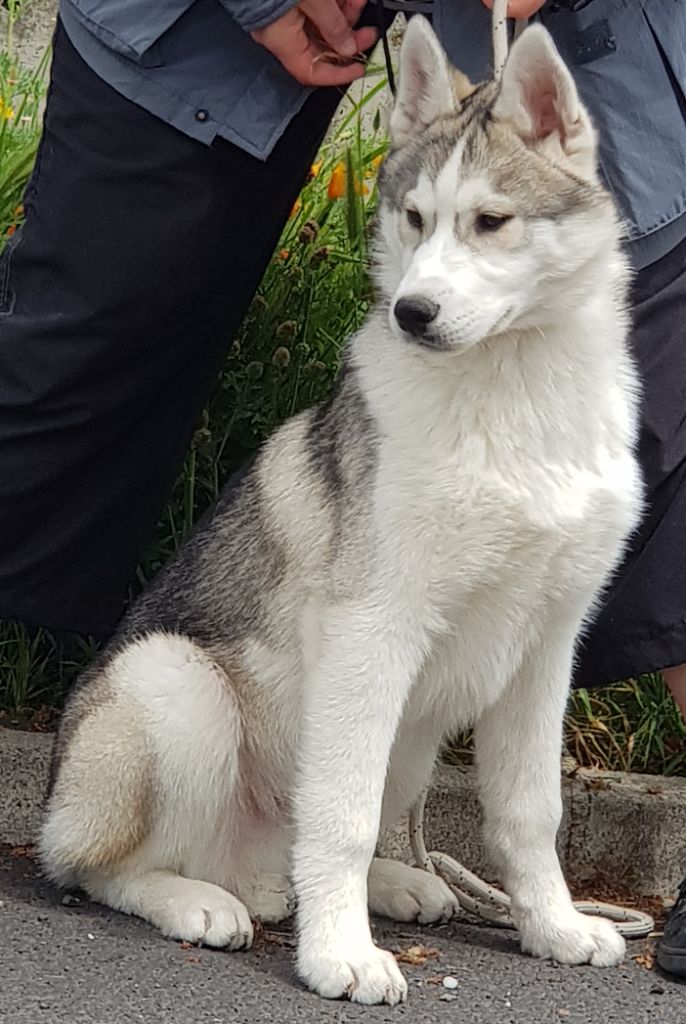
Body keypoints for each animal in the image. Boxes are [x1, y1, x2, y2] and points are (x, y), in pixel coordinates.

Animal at [41, 16, 647, 1007]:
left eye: (491, 222)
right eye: (414, 219)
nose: (413, 312)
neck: (509, 396)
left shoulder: (547, 646)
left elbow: (529, 811)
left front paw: (554, 928)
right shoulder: (373, 630)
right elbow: (343, 816)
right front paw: (340, 957)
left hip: (412, 734)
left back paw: (397, 884)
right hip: (175, 684)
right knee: (95, 866)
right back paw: (197, 901)